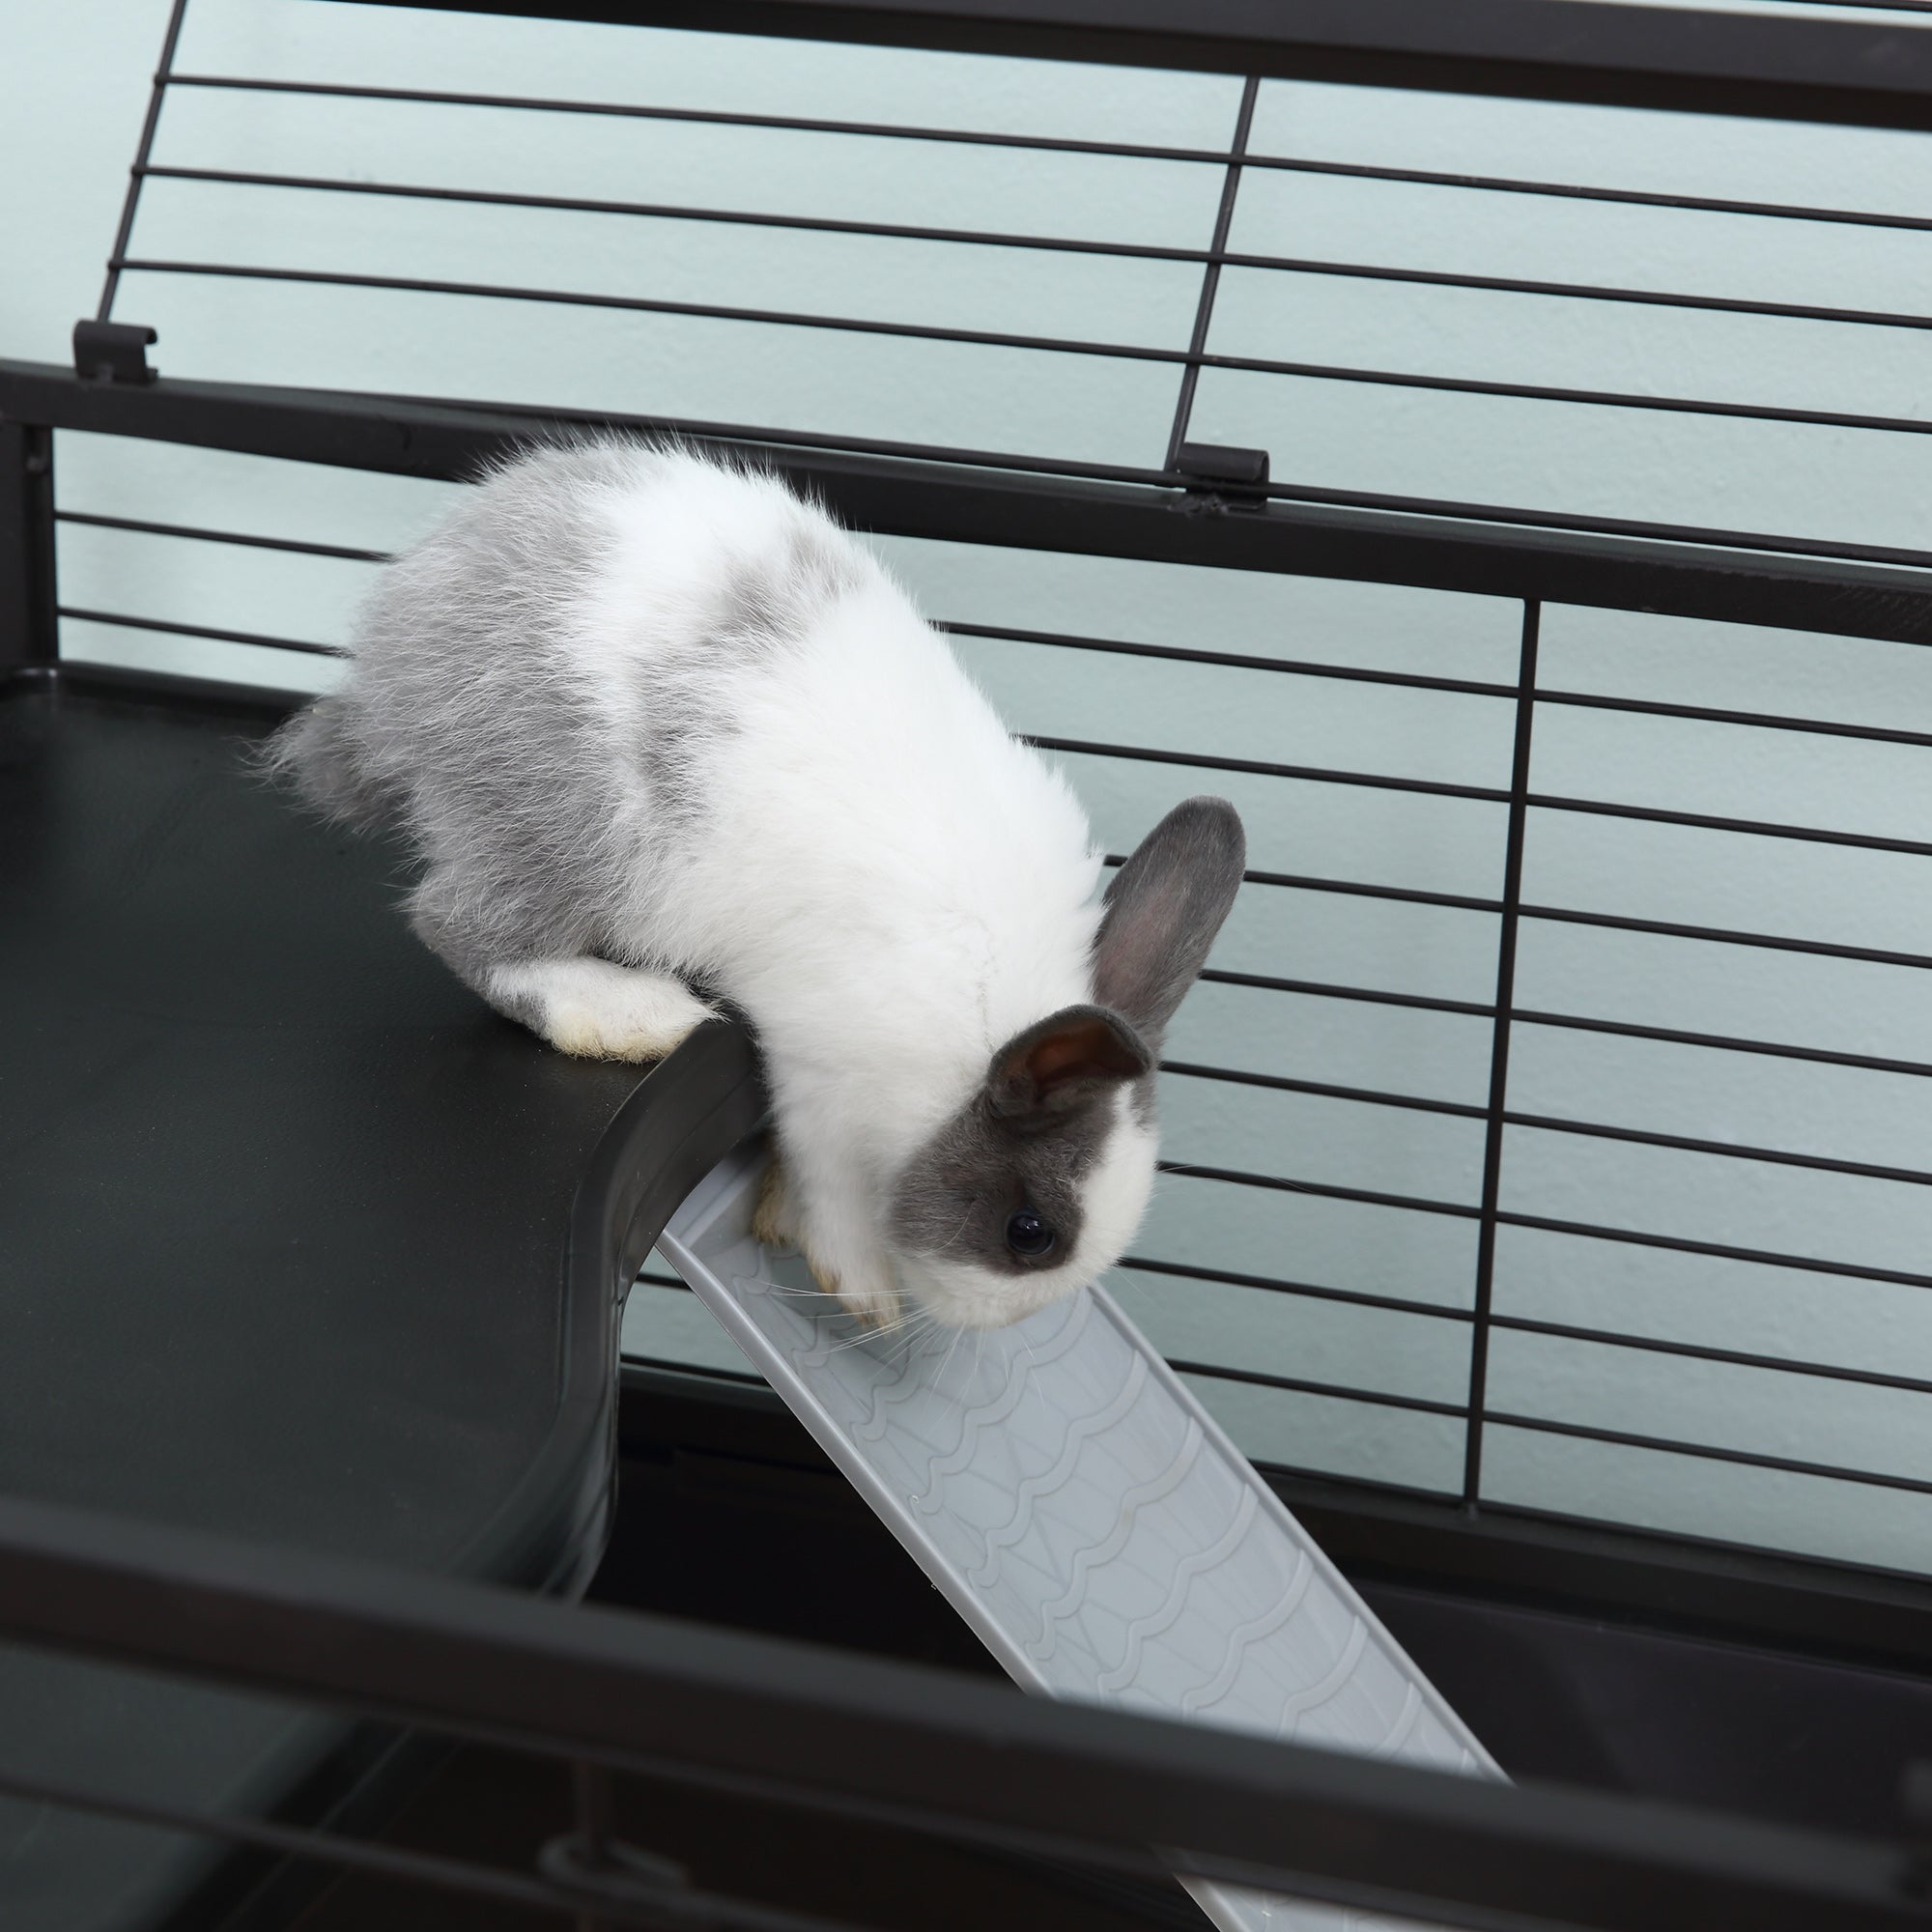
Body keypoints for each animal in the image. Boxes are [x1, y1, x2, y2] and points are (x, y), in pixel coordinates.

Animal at [268, 441, 1245, 1331]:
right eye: (1029, 1231)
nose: (991, 1327)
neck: (984, 1026)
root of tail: (386, 666)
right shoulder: (822, 1076)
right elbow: (827, 1181)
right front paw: (861, 1291)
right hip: (563, 830)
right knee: (458, 923)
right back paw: (626, 1014)